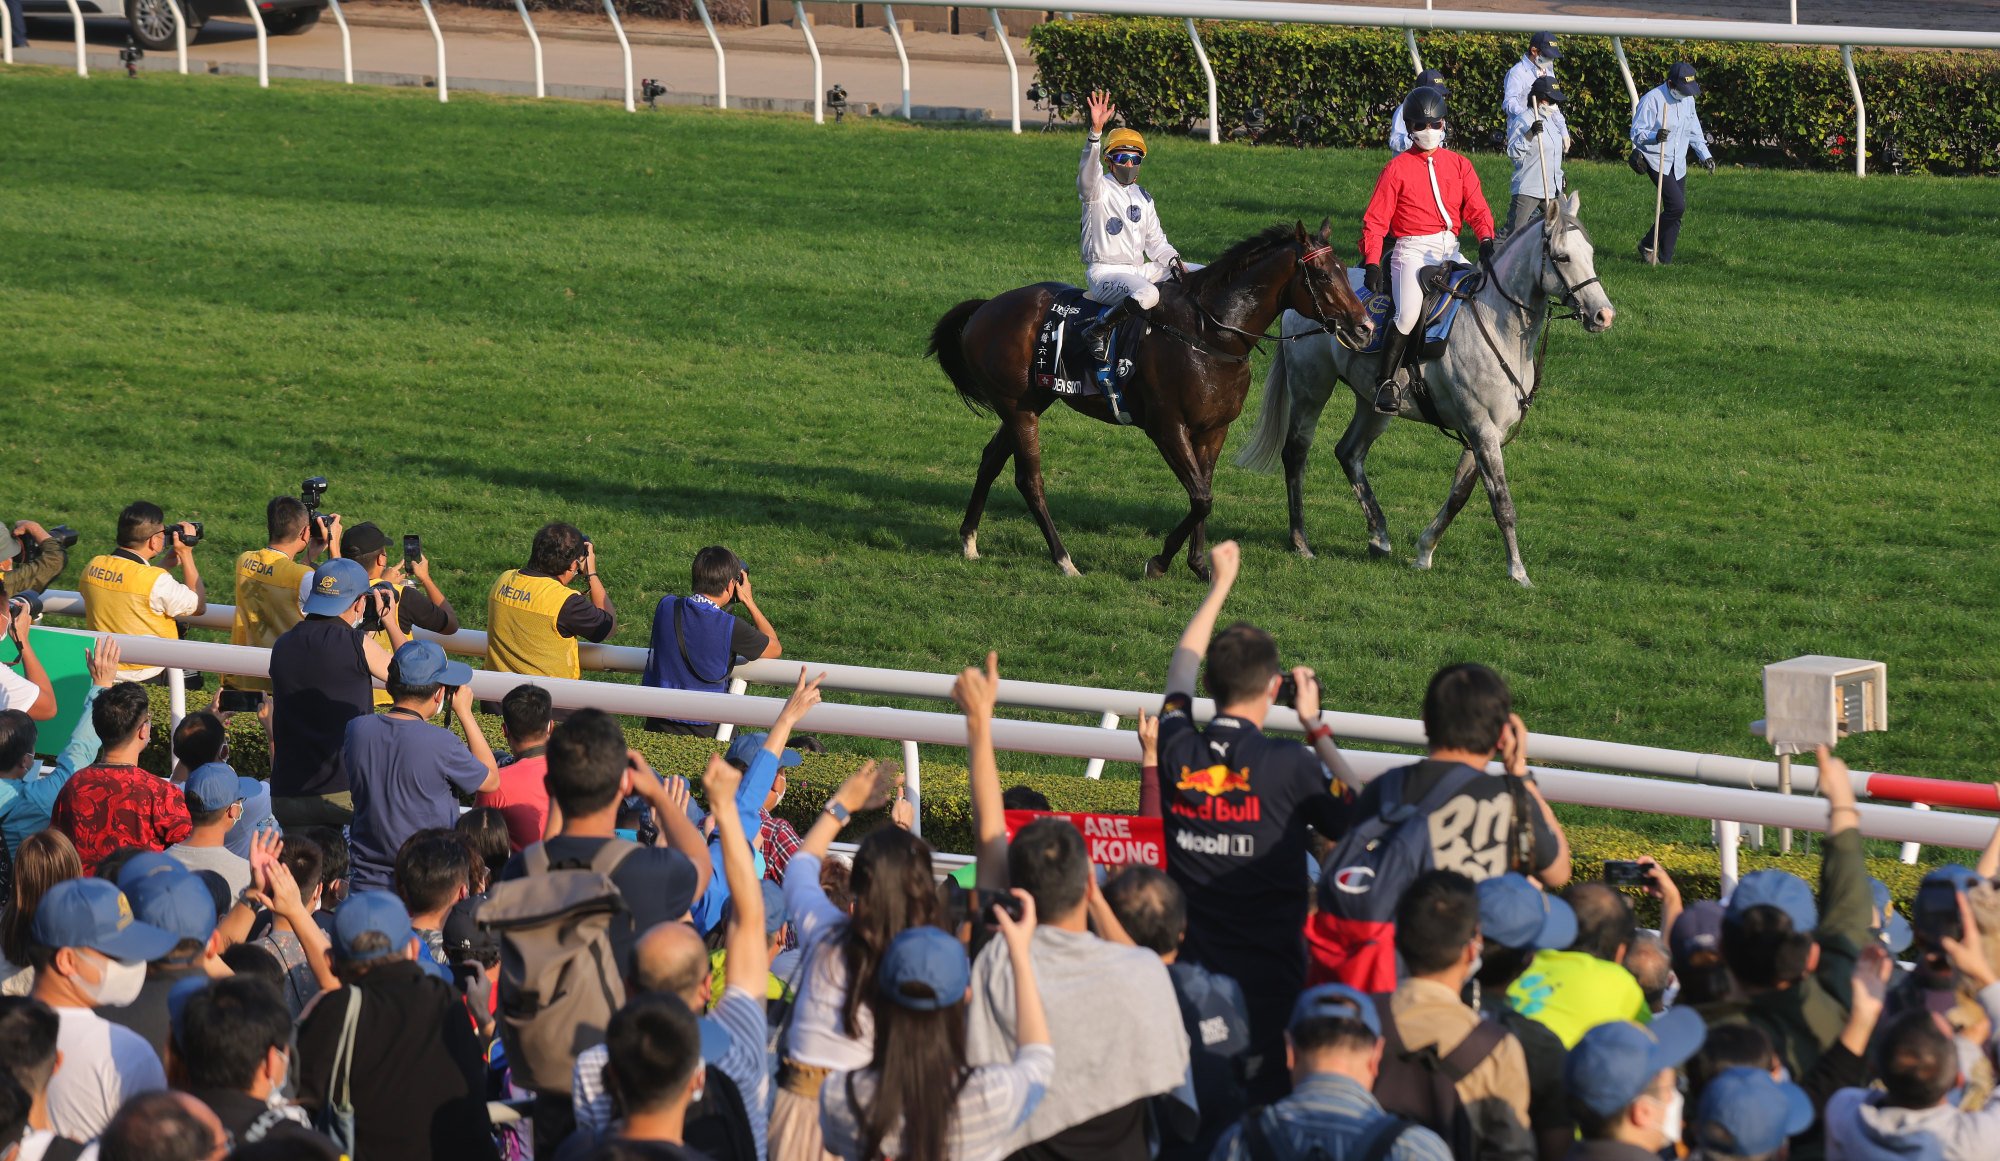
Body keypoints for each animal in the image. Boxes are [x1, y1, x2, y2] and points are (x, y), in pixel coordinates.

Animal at [924, 219, 1368, 580]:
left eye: (1346, 272)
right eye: (1323, 276)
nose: (1364, 327)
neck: (1210, 335)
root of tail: (987, 307)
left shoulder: (1214, 429)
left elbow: (1204, 493)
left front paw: (1199, 565)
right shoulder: (1167, 427)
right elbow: (1201, 498)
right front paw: (1160, 562)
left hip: (1029, 402)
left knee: (990, 460)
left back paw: (969, 541)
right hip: (1019, 409)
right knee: (1029, 479)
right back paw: (1065, 560)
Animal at [1240, 195, 1616, 588]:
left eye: (1590, 253)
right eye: (1562, 257)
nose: (1604, 315)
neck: (1496, 325)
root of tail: (1302, 301)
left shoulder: (1487, 432)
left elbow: (1459, 496)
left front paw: (1424, 552)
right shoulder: (1481, 429)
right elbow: (1502, 502)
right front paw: (1518, 571)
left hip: (1373, 405)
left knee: (1349, 453)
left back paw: (1379, 536)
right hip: (1311, 389)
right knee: (1296, 454)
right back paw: (1301, 540)